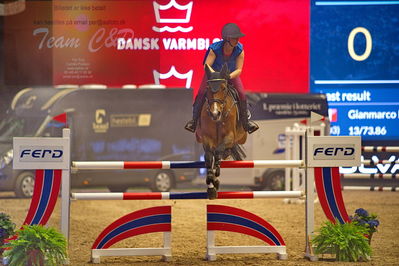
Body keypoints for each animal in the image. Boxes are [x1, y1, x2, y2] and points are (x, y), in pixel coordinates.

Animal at [196, 63, 248, 198]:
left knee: (223, 151)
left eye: (224, 88)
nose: (215, 113)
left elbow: (218, 152)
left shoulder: (229, 137)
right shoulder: (207, 138)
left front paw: (216, 178)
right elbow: (209, 157)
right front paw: (211, 183)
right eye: (208, 88)